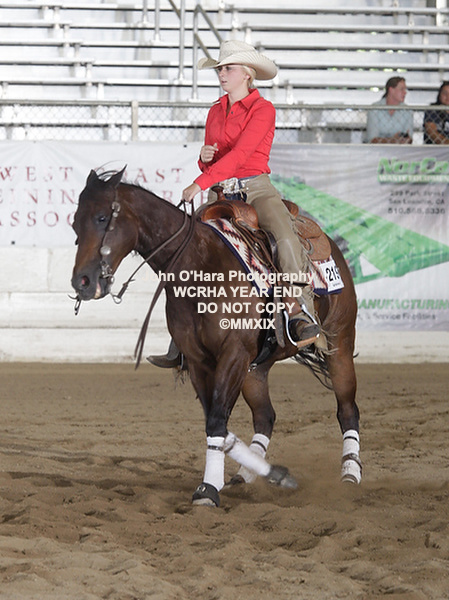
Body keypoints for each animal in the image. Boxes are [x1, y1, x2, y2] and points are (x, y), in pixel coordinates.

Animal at [71, 168, 361, 507]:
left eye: (102, 217)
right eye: (75, 223)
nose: (82, 281)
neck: (200, 266)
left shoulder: (233, 354)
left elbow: (217, 419)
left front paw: (208, 489)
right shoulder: (201, 362)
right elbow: (216, 421)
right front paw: (266, 475)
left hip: (340, 344)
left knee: (347, 409)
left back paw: (350, 474)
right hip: (255, 369)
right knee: (265, 416)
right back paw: (250, 475)